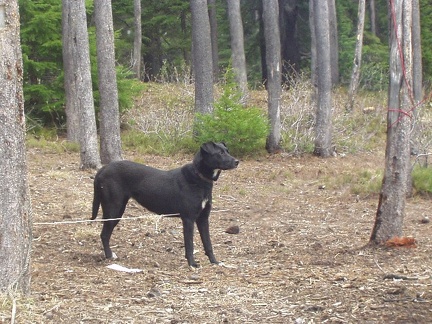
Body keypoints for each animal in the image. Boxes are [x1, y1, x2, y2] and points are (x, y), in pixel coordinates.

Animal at [91, 143, 240, 268]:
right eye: (220, 153)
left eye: (227, 151)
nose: (237, 161)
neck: (200, 178)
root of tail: (103, 169)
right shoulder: (188, 219)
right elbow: (189, 244)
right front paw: (192, 264)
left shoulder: (203, 219)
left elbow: (208, 243)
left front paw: (214, 261)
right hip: (114, 209)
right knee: (104, 234)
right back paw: (109, 256)